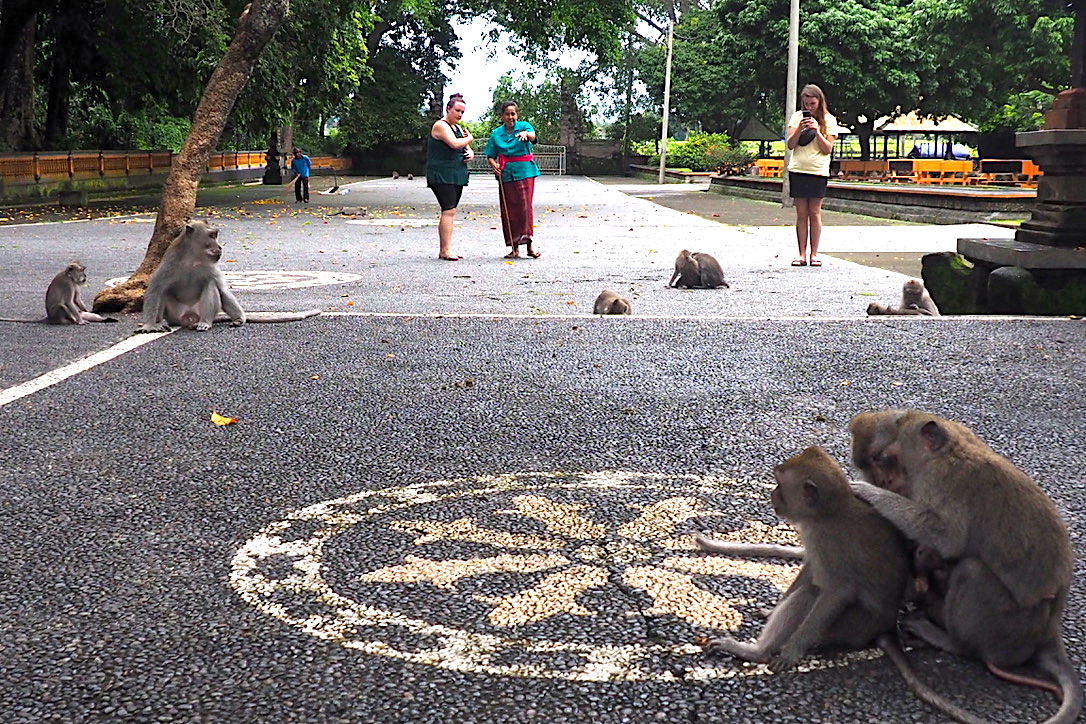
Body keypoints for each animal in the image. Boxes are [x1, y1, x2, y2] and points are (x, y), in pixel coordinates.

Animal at [134, 221, 317, 334]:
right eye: (212, 236)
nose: (220, 247)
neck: (193, 259)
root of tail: (189, 319)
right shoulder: (170, 262)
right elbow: (155, 290)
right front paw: (149, 325)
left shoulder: (211, 267)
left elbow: (222, 289)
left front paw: (240, 318)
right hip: (175, 314)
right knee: (164, 293)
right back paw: (162, 323)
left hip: (200, 311)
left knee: (210, 285)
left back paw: (205, 323)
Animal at [703, 447, 994, 724]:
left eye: (780, 485)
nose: (773, 495)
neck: (828, 512)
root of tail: (887, 627)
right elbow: (810, 570)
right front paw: (771, 610)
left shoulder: (827, 542)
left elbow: (835, 592)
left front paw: (791, 650)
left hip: (851, 626)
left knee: (810, 597)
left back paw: (757, 652)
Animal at [851, 410, 1081, 720]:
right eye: (879, 460)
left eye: (887, 458)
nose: (884, 480)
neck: (948, 450)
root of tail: (1048, 633)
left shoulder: (942, 482)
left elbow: (946, 538)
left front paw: (867, 492)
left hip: (1008, 628)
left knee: (971, 572)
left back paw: (951, 641)